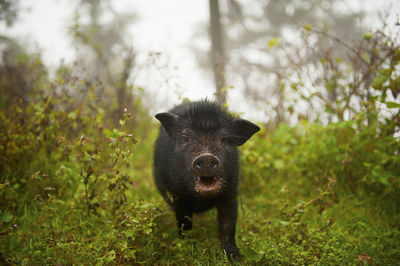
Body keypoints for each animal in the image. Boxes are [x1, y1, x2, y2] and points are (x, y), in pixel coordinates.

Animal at [153, 100, 260, 262]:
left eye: (224, 139)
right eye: (185, 138)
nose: (206, 157)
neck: (201, 200)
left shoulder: (230, 193)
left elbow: (228, 226)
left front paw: (237, 259)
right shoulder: (178, 196)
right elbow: (184, 225)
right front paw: (187, 251)